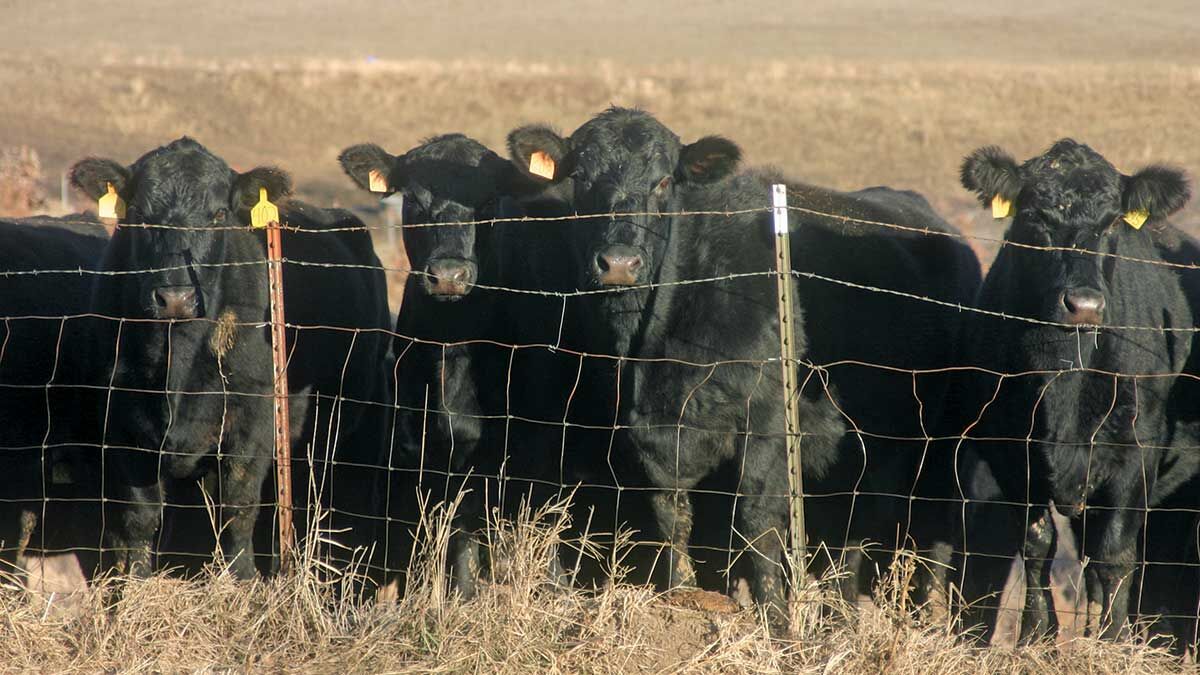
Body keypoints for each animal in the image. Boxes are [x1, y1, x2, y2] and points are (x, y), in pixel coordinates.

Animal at [68, 137, 392, 581]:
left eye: (219, 214)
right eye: (139, 215)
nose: (176, 298)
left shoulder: (253, 420)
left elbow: (237, 508)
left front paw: (241, 579)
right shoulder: (121, 420)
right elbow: (140, 516)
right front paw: (135, 582)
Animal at [505, 107, 982, 621]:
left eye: (664, 181)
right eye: (581, 178)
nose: (618, 262)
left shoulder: (769, 417)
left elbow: (756, 520)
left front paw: (777, 620)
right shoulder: (655, 436)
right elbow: (671, 511)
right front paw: (682, 595)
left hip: (942, 439)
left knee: (933, 526)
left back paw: (929, 616)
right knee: (854, 525)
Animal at [952, 139, 1199, 642]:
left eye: (1112, 223)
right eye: (1036, 218)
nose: (1083, 304)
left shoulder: (1136, 452)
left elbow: (1116, 555)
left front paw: (1112, 641)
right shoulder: (1011, 451)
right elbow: (1037, 544)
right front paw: (1037, 635)